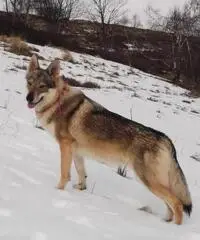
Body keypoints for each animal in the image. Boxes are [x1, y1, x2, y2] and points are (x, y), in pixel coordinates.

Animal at [25, 54, 192, 225]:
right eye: (29, 83)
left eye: (42, 86)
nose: (28, 98)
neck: (58, 101)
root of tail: (166, 139)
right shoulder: (76, 151)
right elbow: (81, 172)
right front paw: (80, 189)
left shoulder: (65, 146)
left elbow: (65, 174)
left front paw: (57, 191)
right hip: (155, 181)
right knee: (170, 205)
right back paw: (165, 222)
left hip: (148, 180)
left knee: (177, 204)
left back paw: (174, 227)